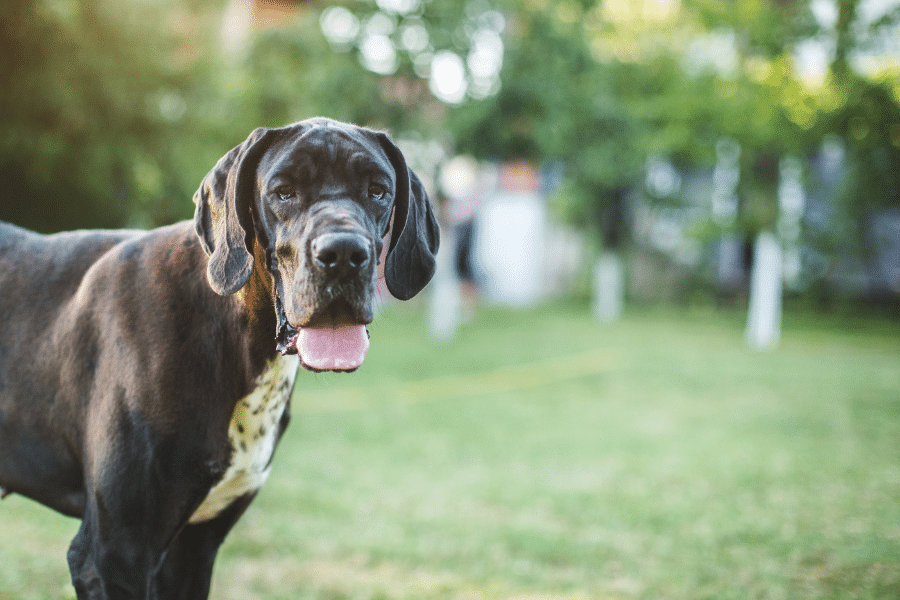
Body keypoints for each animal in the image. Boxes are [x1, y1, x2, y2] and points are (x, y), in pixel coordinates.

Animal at [0, 118, 440, 600]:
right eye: (283, 191)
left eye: (378, 190)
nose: (343, 254)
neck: (238, 342)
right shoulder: (114, 553)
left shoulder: (193, 549)